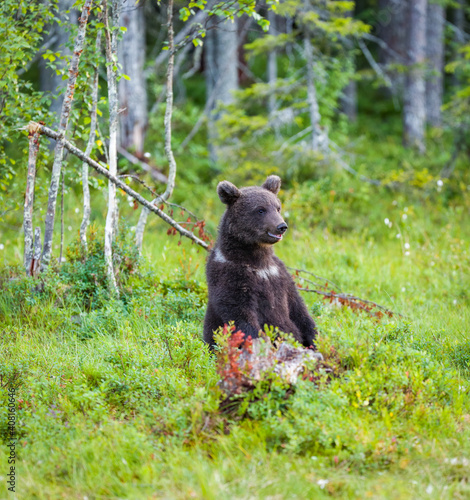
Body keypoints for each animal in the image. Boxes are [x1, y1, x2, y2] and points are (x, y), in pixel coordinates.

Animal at [203, 175, 318, 348]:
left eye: (278, 207)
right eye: (260, 209)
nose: (282, 226)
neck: (258, 260)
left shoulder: (279, 273)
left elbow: (297, 308)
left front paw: (316, 339)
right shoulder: (231, 274)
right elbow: (241, 313)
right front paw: (262, 342)